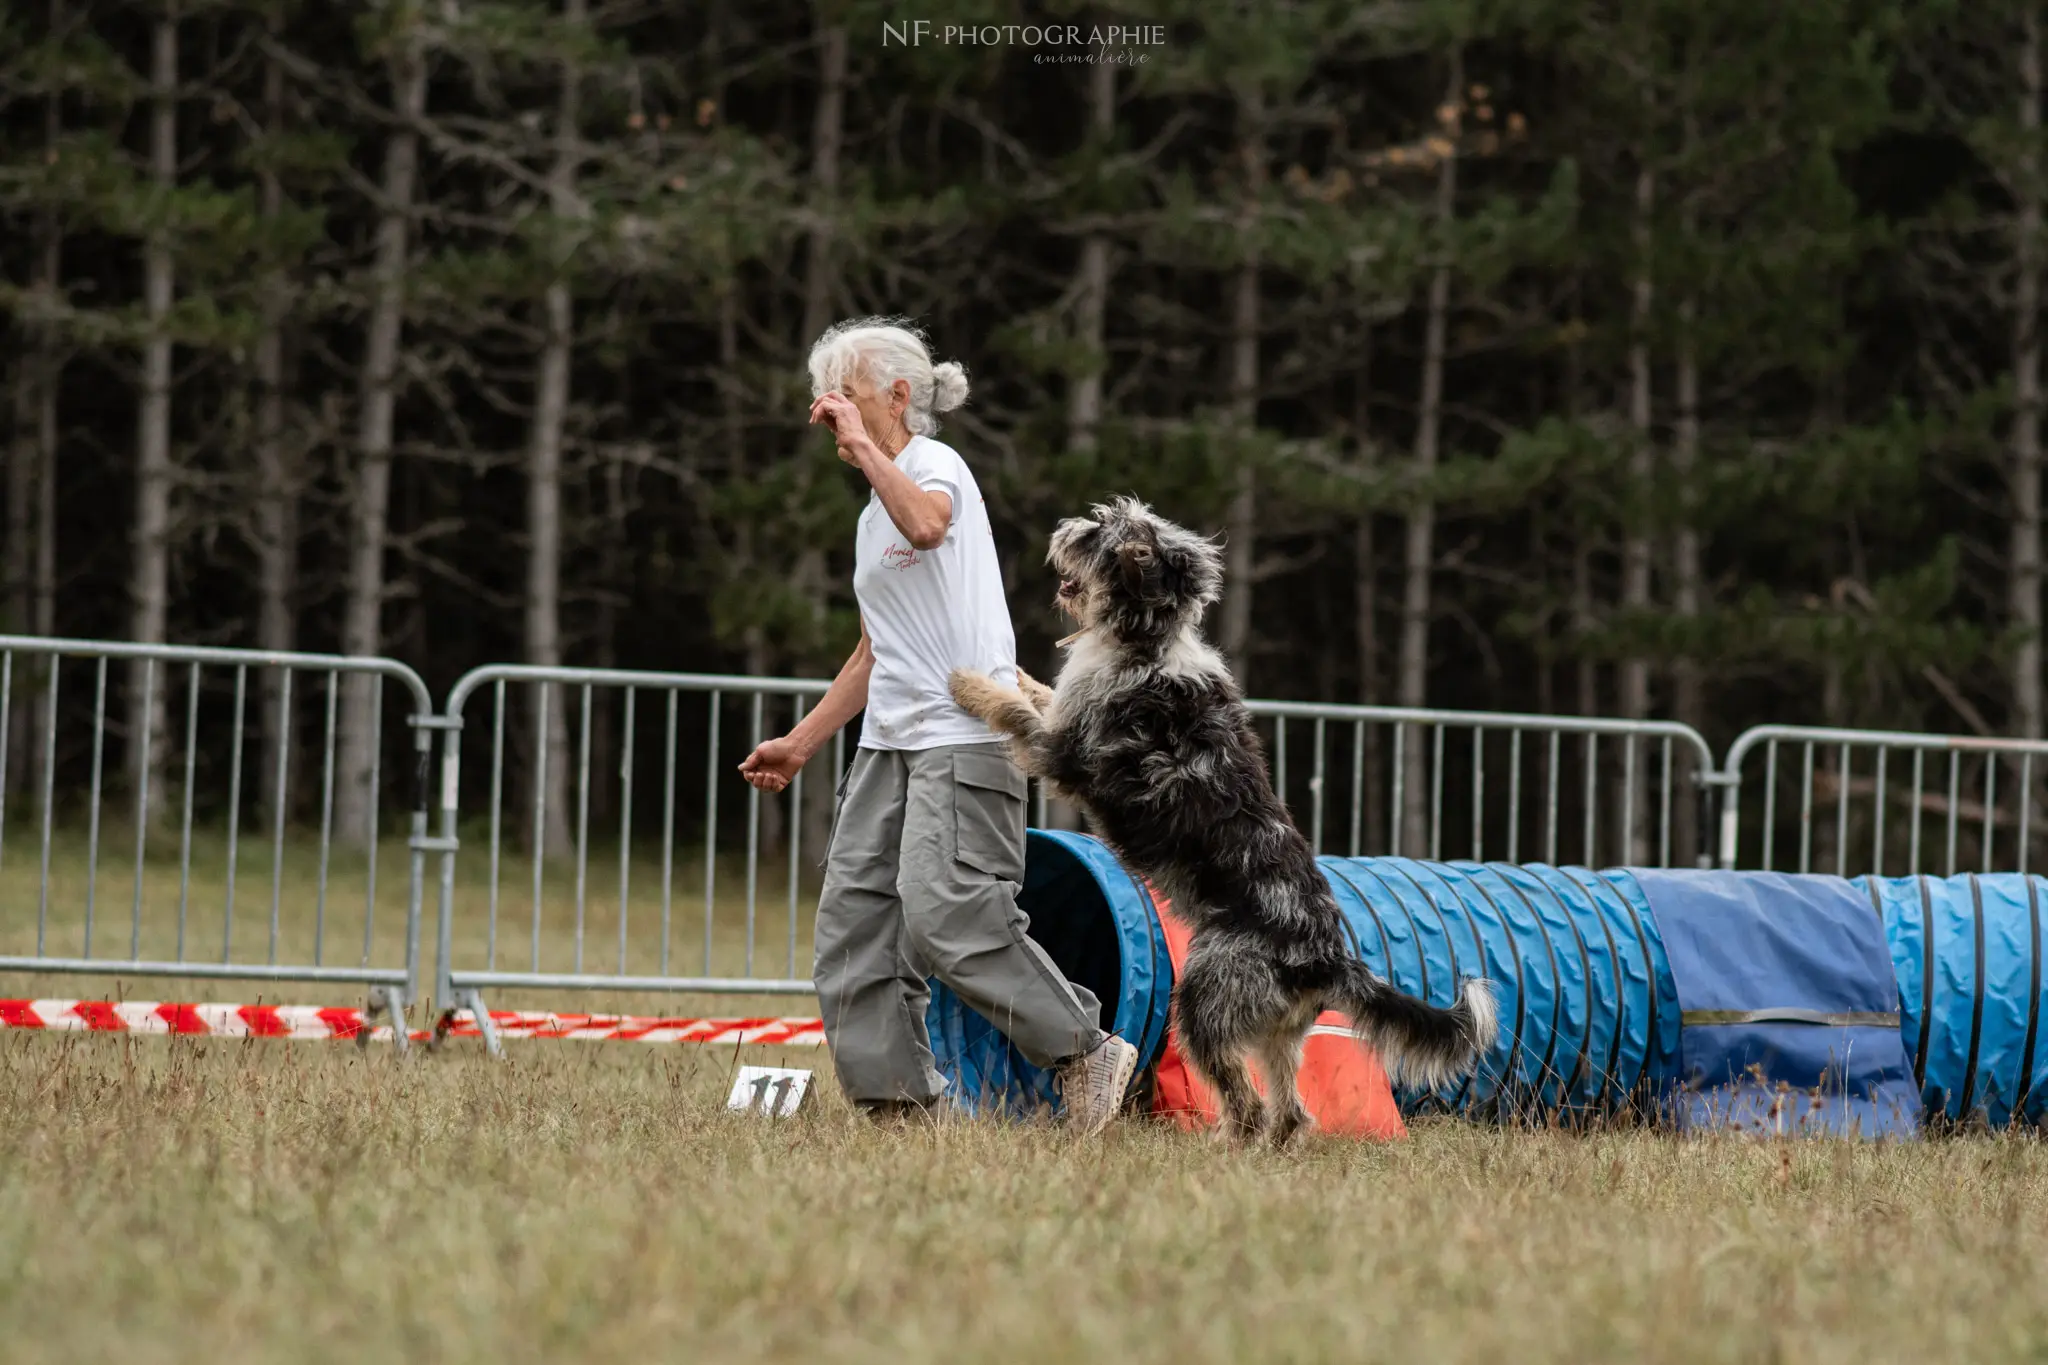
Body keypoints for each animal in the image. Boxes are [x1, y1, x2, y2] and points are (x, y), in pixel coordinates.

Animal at [950, 497, 1499, 1146]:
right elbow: (1037, 694)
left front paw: (969, 683)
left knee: (1247, 1102)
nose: (1065, 529)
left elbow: (1016, 711)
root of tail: (1328, 958)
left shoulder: (1062, 752)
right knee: (1290, 1112)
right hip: (1277, 1032)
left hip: (1203, 999)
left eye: (1100, 530)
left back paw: (1224, 1147)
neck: (1147, 639)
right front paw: (1015, 674)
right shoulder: (1064, 716)